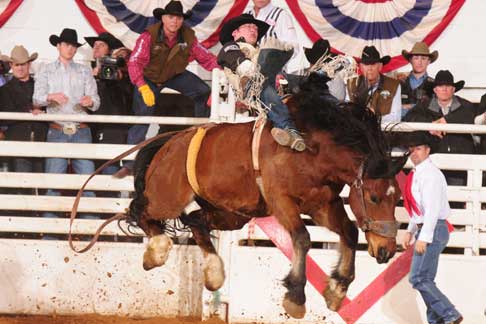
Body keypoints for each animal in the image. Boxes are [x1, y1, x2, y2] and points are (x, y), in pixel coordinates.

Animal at [126, 74, 406, 318]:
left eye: (397, 199)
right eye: (374, 198)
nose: (386, 250)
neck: (313, 150)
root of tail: (170, 141)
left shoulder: (323, 204)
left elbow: (349, 231)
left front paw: (337, 289)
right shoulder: (281, 201)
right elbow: (302, 238)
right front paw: (296, 296)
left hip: (231, 213)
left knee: (195, 220)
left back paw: (214, 273)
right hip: (167, 197)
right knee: (140, 210)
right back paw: (156, 251)